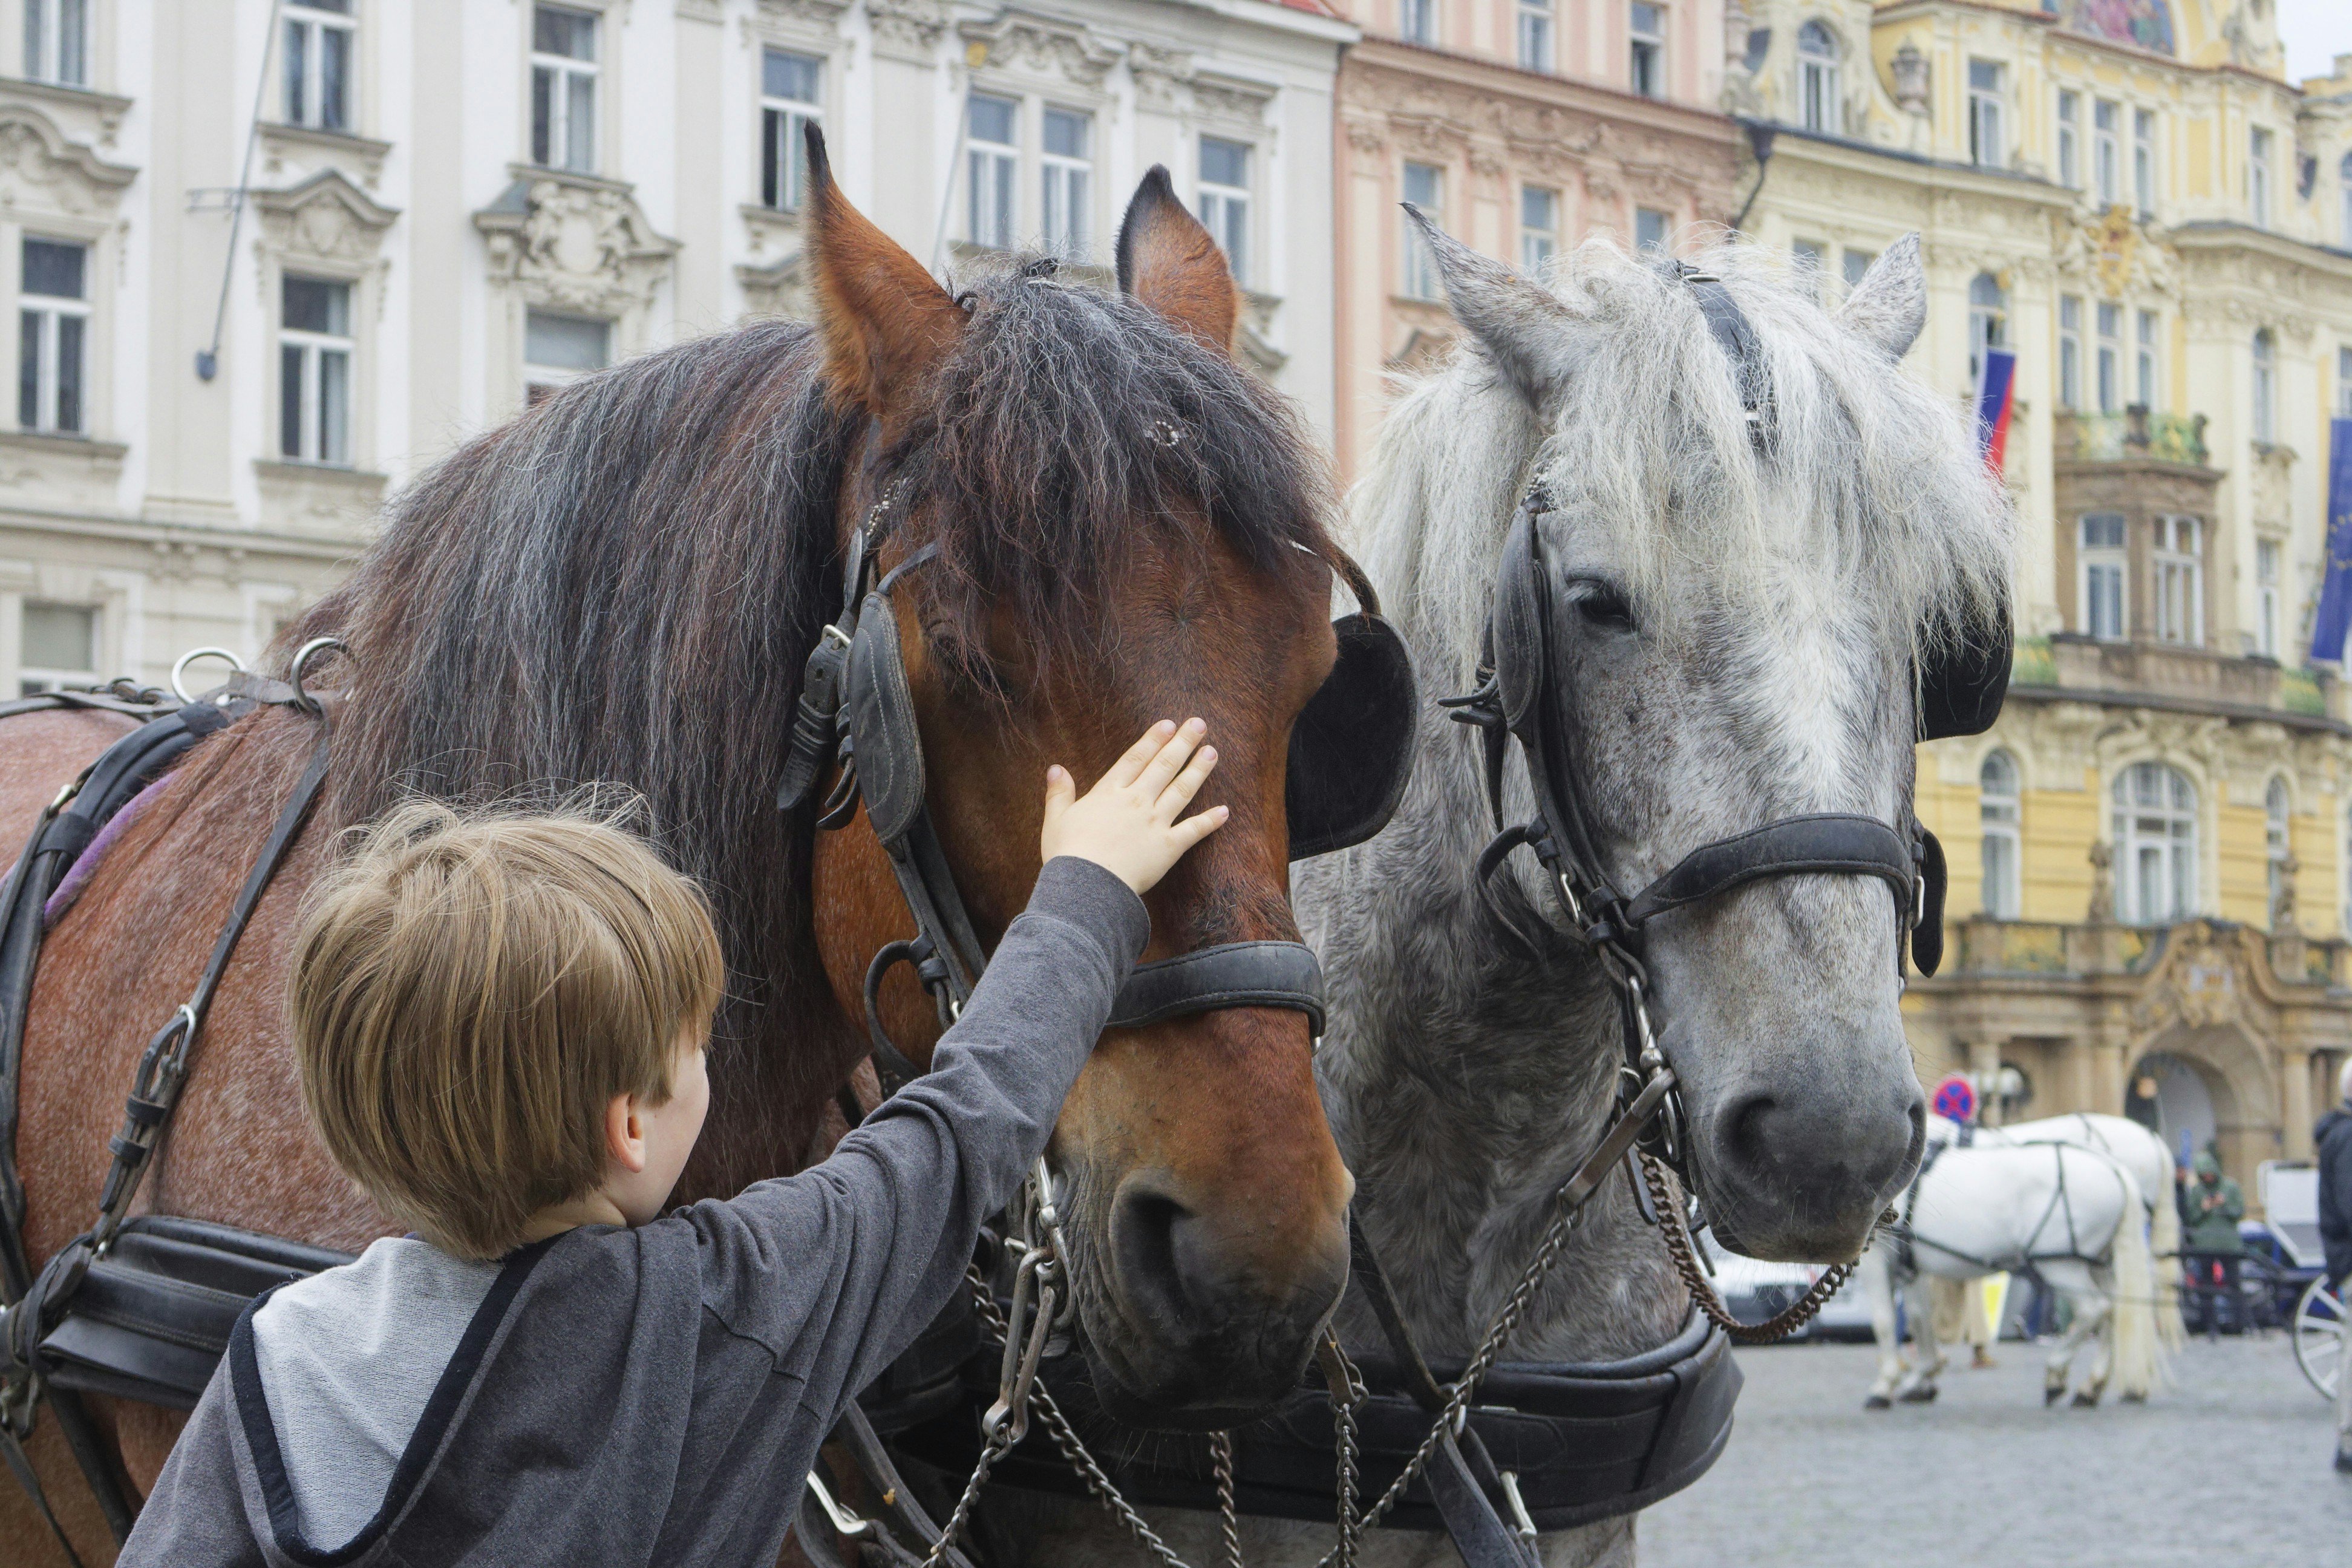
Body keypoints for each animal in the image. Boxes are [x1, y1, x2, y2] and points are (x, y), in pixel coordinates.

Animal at [1859, 1141, 2163, 1408]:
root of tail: (2112, 1166)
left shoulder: (1877, 1258)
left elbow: (1885, 1321)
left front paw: (1884, 1386)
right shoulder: (1909, 1269)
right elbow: (1919, 1318)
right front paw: (1921, 1381)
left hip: (2062, 1265)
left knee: (2094, 1309)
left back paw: (2056, 1375)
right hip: (2097, 1264)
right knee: (2113, 1311)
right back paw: (2090, 1388)